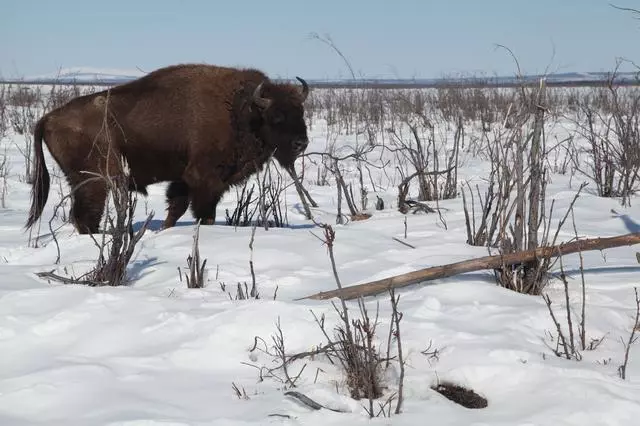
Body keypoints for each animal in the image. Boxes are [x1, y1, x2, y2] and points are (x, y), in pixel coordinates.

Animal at [25, 63, 310, 234]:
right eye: (276, 116)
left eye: (301, 112)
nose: (301, 143)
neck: (242, 110)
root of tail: (48, 117)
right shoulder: (205, 180)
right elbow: (203, 211)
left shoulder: (184, 179)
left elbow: (176, 206)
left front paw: (165, 230)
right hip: (94, 180)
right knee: (86, 214)